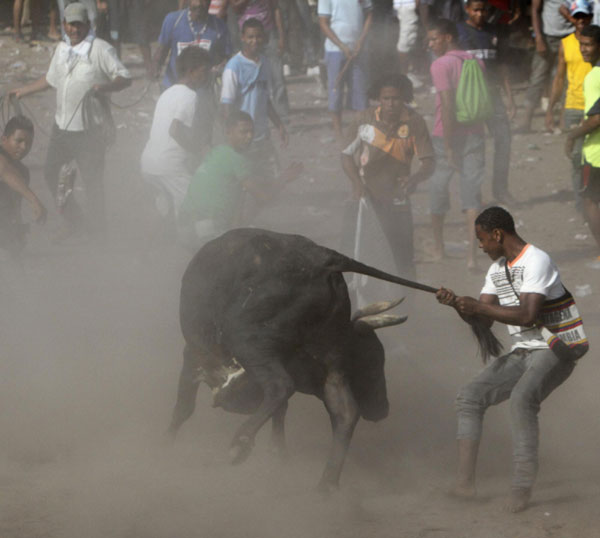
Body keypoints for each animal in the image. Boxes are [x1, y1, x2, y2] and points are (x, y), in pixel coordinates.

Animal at [166, 227, 414, 490]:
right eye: (371, 361)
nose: (382, 409)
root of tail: (322, 257)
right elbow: (279, 414)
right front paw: (279, 457)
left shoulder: (194, 357)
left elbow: (183, 409)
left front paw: (164, 448)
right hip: (329, 359)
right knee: (344, 412)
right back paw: (326, 486)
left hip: (247, 339)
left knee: (280, 386)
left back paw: (240, 443)